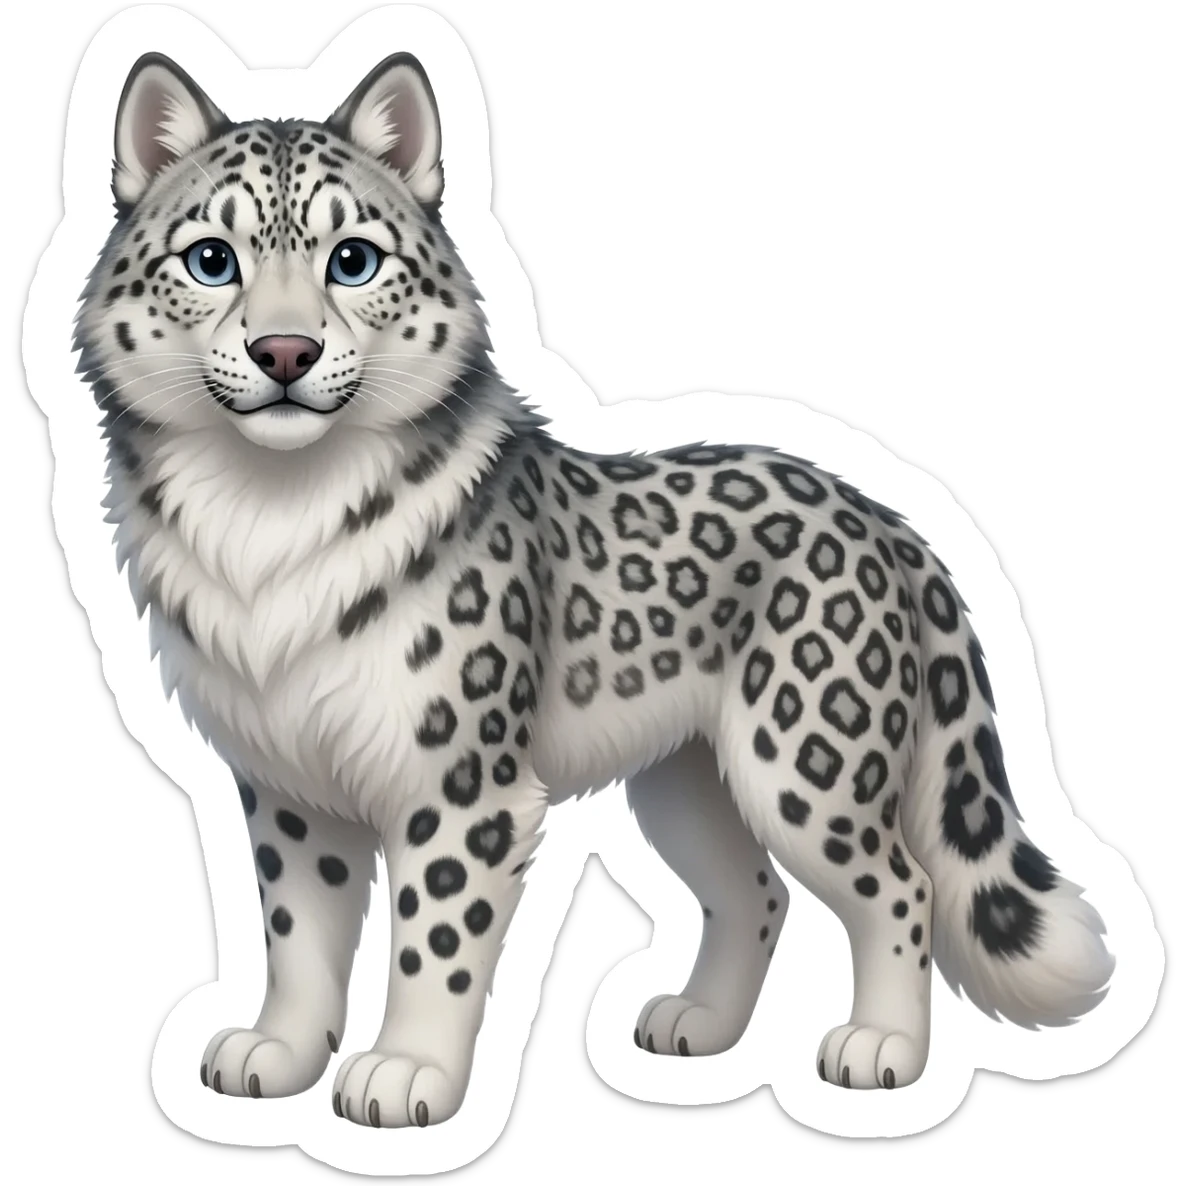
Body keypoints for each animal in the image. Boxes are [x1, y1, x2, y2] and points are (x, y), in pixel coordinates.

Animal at [73, 50, 1115, 1128]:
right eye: (211, 259)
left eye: (352, 259)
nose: (286, 352)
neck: (268, 521)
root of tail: (883, 514)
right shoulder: (285, 775)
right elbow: (297, 925)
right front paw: (278, 1052)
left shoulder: (459, 778)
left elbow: (433, 934)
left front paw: (406, 1072)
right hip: (688, 783)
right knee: (755, 891)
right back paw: (697, 1025)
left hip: (806, 757)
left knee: (899, 884)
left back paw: (881, 1050)